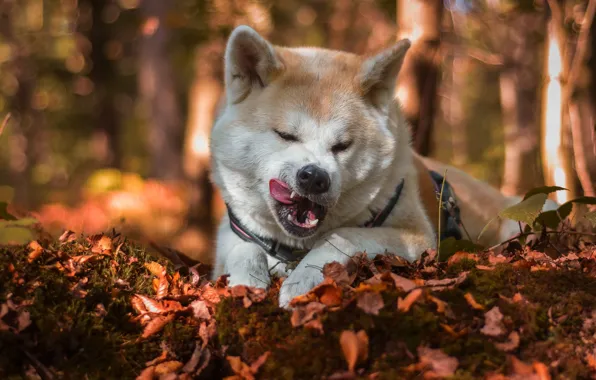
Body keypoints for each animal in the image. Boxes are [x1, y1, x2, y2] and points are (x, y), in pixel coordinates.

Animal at [208, 25, 556, 308]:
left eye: (342, 145)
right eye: (285, 135)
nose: (314, 178)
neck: (293, 246)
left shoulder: (416, 236)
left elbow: (340, 236)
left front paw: (303, 280)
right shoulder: (234, 232)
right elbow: (242, 248)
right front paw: (245, 282)